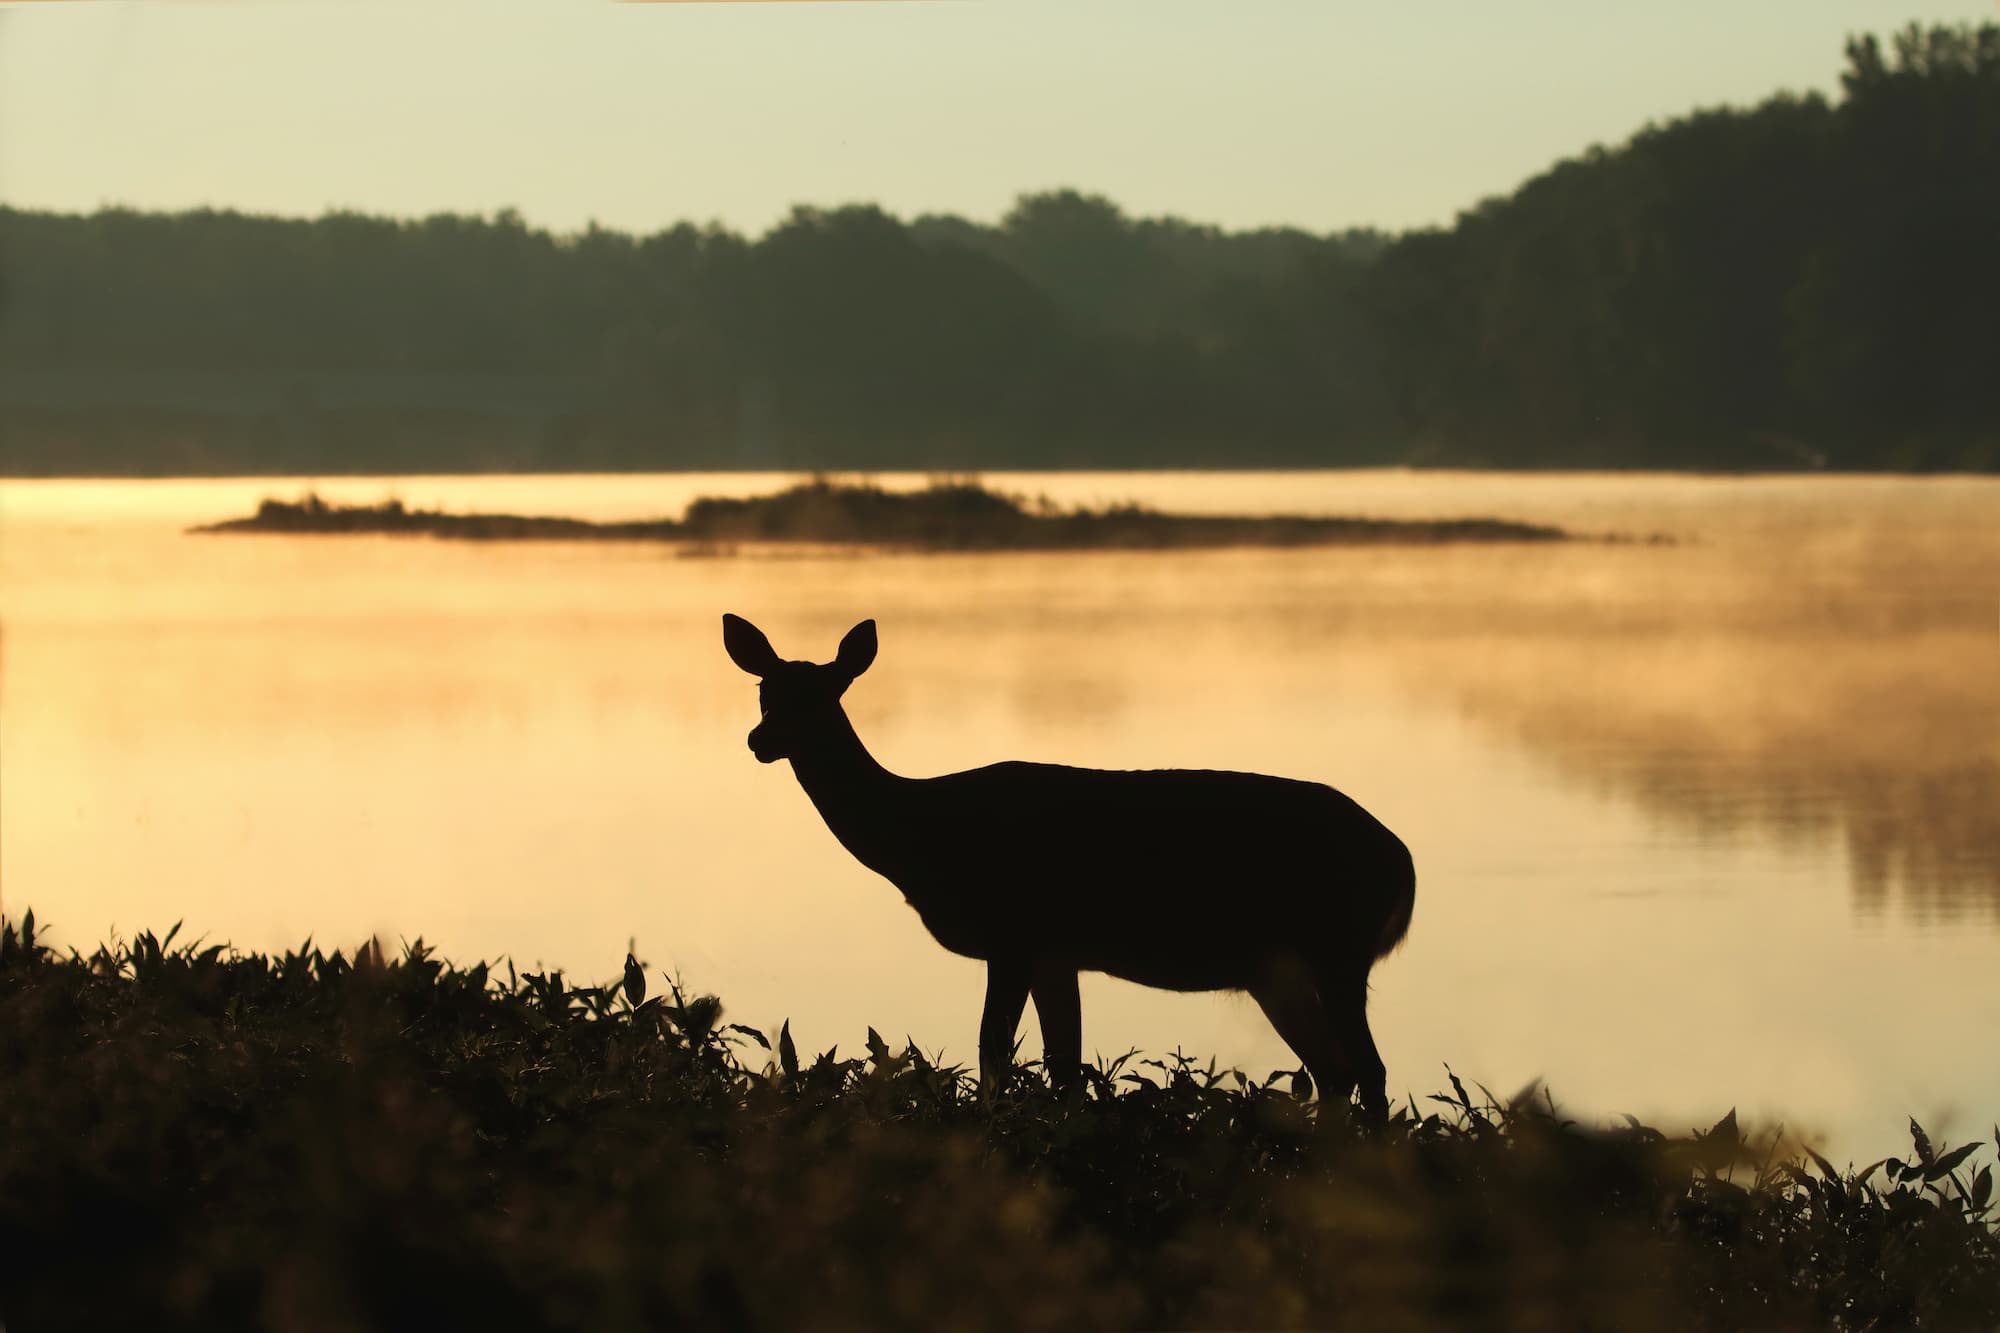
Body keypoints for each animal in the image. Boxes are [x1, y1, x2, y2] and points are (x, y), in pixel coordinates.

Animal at [728, 612, 1416, 1120]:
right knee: (1335, 1071)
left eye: (823, 695)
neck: (926, 836)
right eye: (764, 690)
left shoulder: (1013, 933)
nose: (759, 741)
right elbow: (1065, 1069)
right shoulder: (1056, 953)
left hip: (1338, 945)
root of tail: (1404, 866)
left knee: (1369, 1069)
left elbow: (995, 1053)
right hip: (1277, 968)